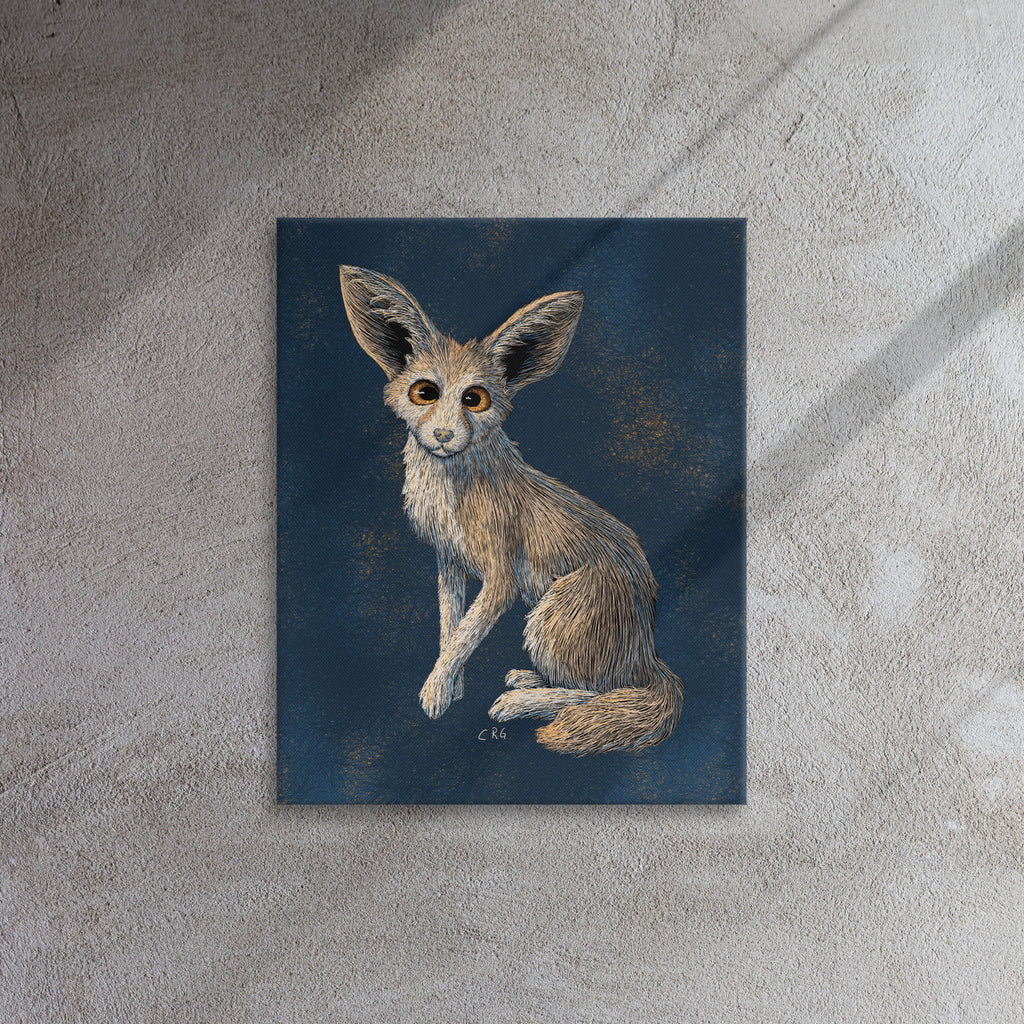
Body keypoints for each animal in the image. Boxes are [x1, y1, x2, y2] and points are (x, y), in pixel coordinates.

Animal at [339, 265, 683, 755]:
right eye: (424, 392)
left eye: (474, 399)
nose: (443, 435)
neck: (454, 489)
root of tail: (648, 652)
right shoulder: (449, 562)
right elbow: (450, 628)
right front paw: (452, 685)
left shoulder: (501, 579)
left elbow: (465, 634)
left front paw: (435, 693)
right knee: (603, 687)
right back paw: (528, 680)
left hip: (549, 616)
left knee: (603, 692)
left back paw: (521, 703)